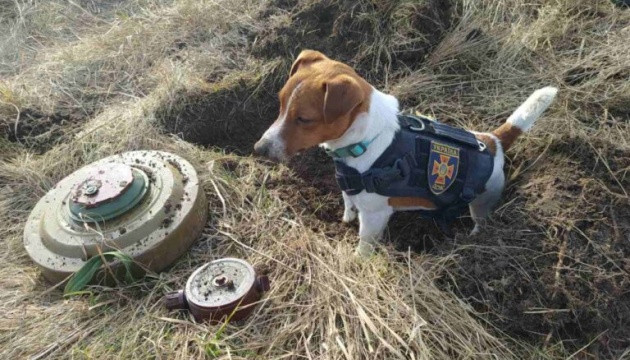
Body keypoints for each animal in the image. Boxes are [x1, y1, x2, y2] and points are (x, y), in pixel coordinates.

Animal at [254, 50, 560, 256]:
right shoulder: (349, 188)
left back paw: (473, 238)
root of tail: (493, 140)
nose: (259, 148)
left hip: (483, 201)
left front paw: (357, 260)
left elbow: (364, 243)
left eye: (304, 119)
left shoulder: (375, 216)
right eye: (280, 104)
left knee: (480, 220)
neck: (366, 140)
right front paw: (345, 218)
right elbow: (348, 202)